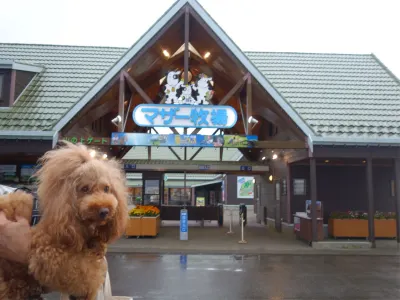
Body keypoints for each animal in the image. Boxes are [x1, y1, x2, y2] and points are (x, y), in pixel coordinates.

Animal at [0, 142, 127, 298]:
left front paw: (97, 245)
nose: (104, 211)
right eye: (84, 188)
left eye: (107, 188)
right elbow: (85, 272)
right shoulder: (49, 254)